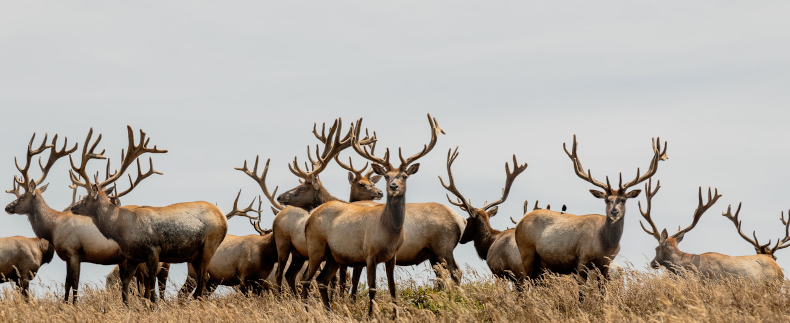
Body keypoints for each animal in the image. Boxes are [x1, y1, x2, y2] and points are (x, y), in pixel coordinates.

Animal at [68, 126, 229, 304]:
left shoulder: (153, 250)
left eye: (85, 198)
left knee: (202, 278)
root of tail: (223, 218)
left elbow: (150, 285)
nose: (73, 207)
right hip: (194, 254)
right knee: (202, 279)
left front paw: (152, 305)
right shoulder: (132, 257)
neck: (121, 229)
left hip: (210, 244)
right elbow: (126, 284)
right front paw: (128, 306)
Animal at [304, 114, 446, 316]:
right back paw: (307, 311)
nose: (393, 186)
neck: (388, 232)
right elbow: (372, 288)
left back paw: (329, 311)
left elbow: (392, 288)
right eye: (386, 176)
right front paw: (371, 315)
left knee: (321, 280)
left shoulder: (392, 256)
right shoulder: (369, 254)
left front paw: (396, 316)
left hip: (334, 255)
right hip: (316, 246)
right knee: (307, 280)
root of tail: (309, 218)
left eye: (404, 176)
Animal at [512, 135, 668, 282]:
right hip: (527, 253)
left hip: (540, 264)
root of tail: (519, 222)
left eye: (623, 200)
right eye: (606, 200)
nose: (614, 211)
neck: (605, 246)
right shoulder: (582, 260)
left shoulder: (605, 266)